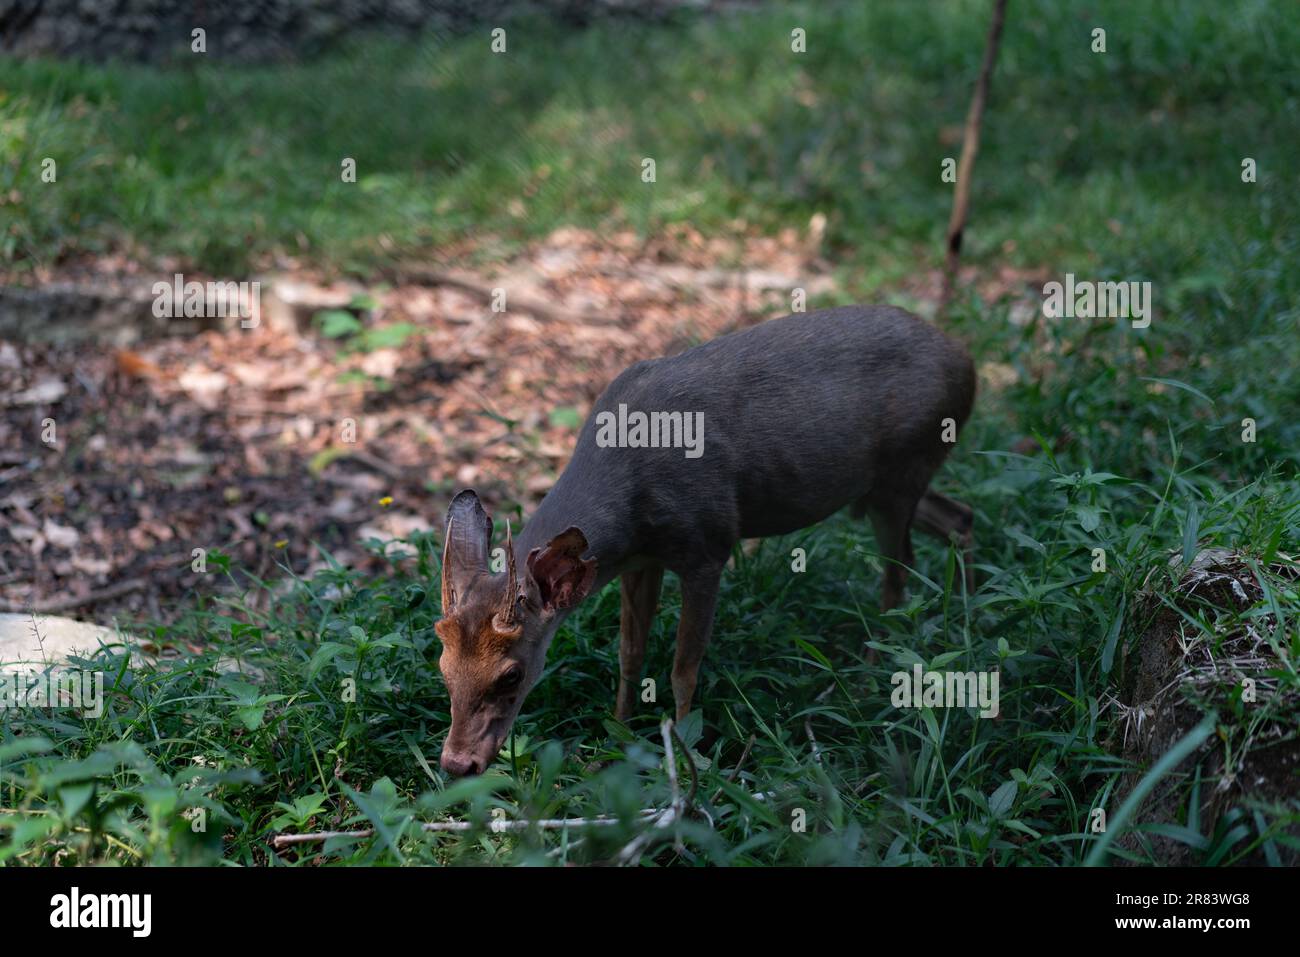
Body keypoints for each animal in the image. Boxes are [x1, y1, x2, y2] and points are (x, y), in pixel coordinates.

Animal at [434, 305, 976, 776]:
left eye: (511, 674)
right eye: (442, 666)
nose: (458, 764)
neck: (630, 493)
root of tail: (965, 361)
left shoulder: (708, 545)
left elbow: (683, 668)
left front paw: (687, 753)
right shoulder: (638, 560)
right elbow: (629, 653)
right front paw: (611, 745)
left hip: (903, 467)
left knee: (899, 569)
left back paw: (869, 677)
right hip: (885, 483)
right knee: (960, 518)